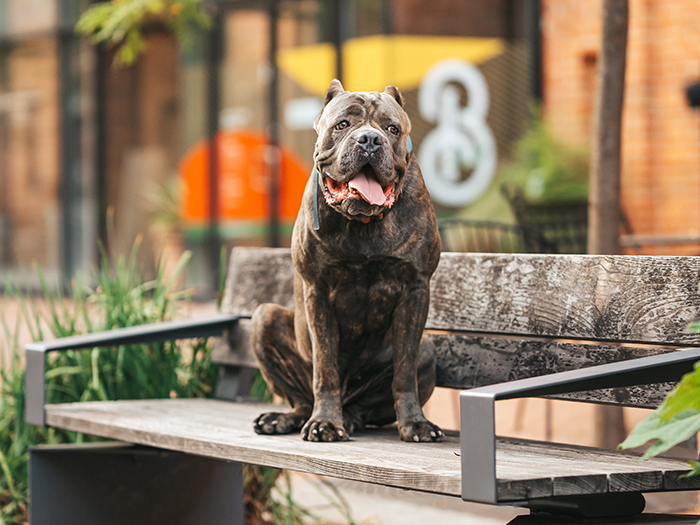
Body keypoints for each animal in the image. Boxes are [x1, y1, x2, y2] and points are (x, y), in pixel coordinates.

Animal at [249, 80, 440, 440]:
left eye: (392, 129)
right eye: (342, 125)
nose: (369, 140)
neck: (362, 222)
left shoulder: (415, 290)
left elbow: (404, 372)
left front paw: (415, 423)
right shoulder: (318, 292)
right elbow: (325, 368)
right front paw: (325, 422)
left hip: (428, 346)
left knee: (365, 405)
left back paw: (350, 417)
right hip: (263, 318)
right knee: (303, 399)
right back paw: (285, 419)